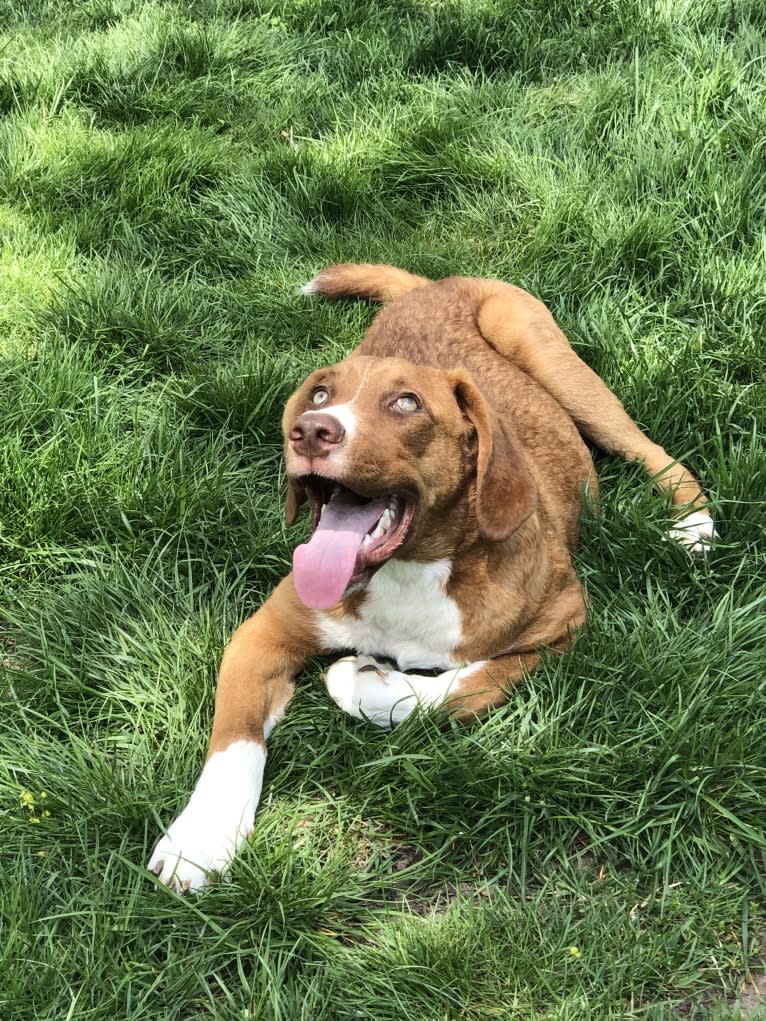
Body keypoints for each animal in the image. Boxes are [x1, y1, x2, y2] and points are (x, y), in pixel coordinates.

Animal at [148, 265, 714, 894]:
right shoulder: (261, 635)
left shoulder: (562, 626)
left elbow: (461, 689)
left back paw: (694, 522)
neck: (409, 570)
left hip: (553, 361)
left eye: (406, 403)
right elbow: (233, 738)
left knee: (650, 448)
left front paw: (366, 683)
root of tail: (434, 283)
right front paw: (200, 838)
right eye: (320, 395)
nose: (310, 430)